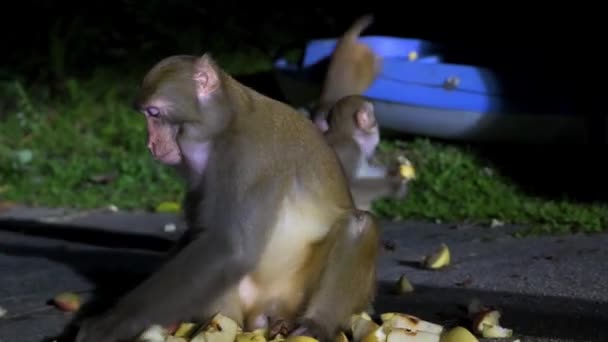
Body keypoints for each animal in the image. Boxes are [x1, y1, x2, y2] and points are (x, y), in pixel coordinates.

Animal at [75, 52, 380, 342]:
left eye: (155, 113)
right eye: (147, 116)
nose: (151, 144)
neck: (228, 123)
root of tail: (265, 311)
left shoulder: (249, 156)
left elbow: (228, 248)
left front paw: (106, 326)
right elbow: (203, 235)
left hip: (294, 295)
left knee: (358, 225)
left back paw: (315, 324)